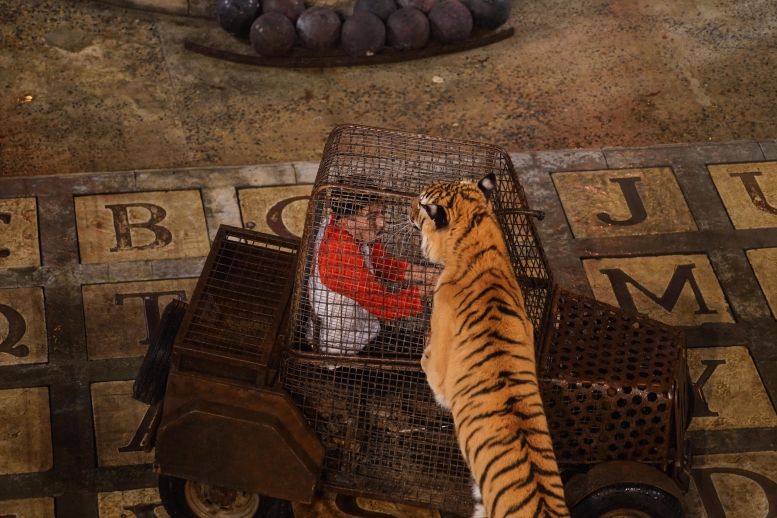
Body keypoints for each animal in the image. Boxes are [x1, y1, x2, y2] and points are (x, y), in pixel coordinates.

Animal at [409, 173, 570, 518]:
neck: (478, 237)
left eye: (421, 202)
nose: (408, 210)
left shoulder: (441, 366)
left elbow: (430, 366)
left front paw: (423, 349)